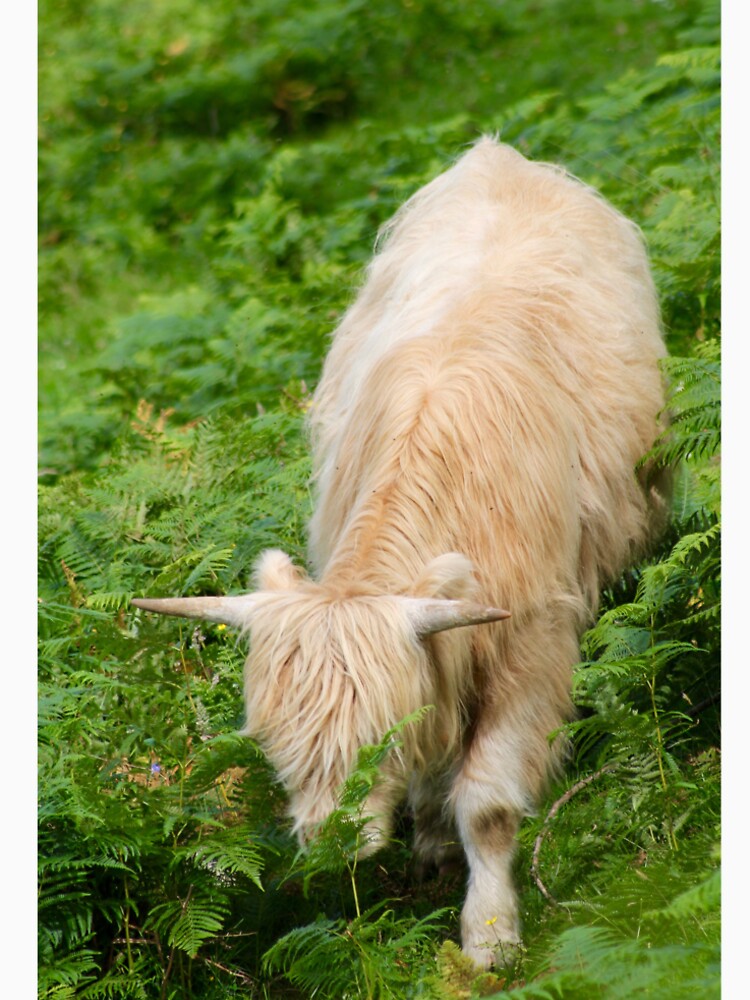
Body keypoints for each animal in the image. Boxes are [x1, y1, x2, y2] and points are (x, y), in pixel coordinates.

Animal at [132, 137, 668, 968]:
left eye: (372, 738)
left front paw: (489, 935)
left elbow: (487, 802)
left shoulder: (532, 643)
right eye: (276, 742)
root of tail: (500, 155)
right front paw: (435, 846)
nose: (329, 842)